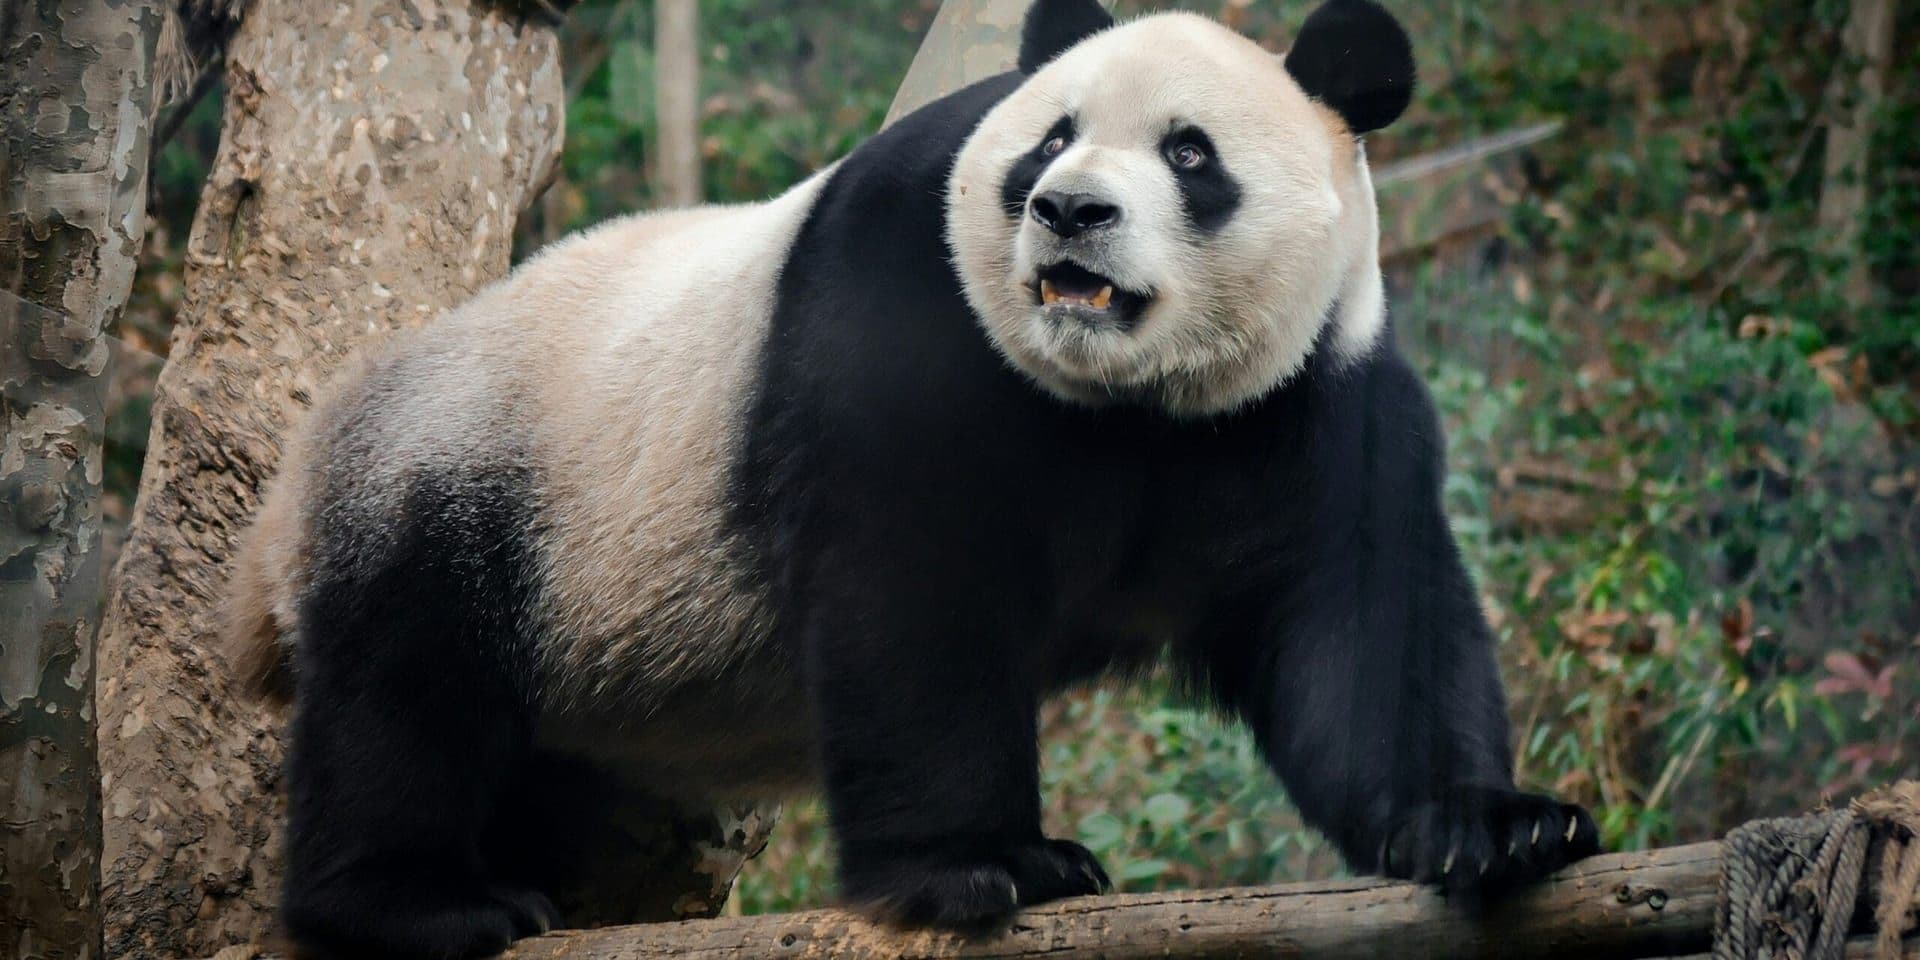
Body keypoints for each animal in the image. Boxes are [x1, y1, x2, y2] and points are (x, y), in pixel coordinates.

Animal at [221, 1, 1601, 956]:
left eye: (1190, 154)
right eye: (1050, 139)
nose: (1071, 213)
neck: (1124, 398)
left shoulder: (1308, 395)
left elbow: (1362, 625)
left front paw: (1495, 826)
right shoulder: (906, 302)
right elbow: (911, 593)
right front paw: (990, 865)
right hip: (482, 479)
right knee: (408, 692)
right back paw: (424, 904)